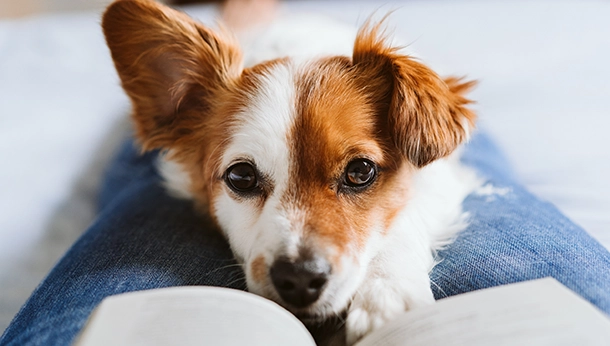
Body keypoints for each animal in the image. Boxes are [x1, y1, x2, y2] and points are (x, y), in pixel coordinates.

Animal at [100, 0, 480, 342]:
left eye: (360, 171)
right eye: (241, 177)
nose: (299, 278)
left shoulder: (443, 181)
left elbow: (404, 221)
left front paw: (387, 292)